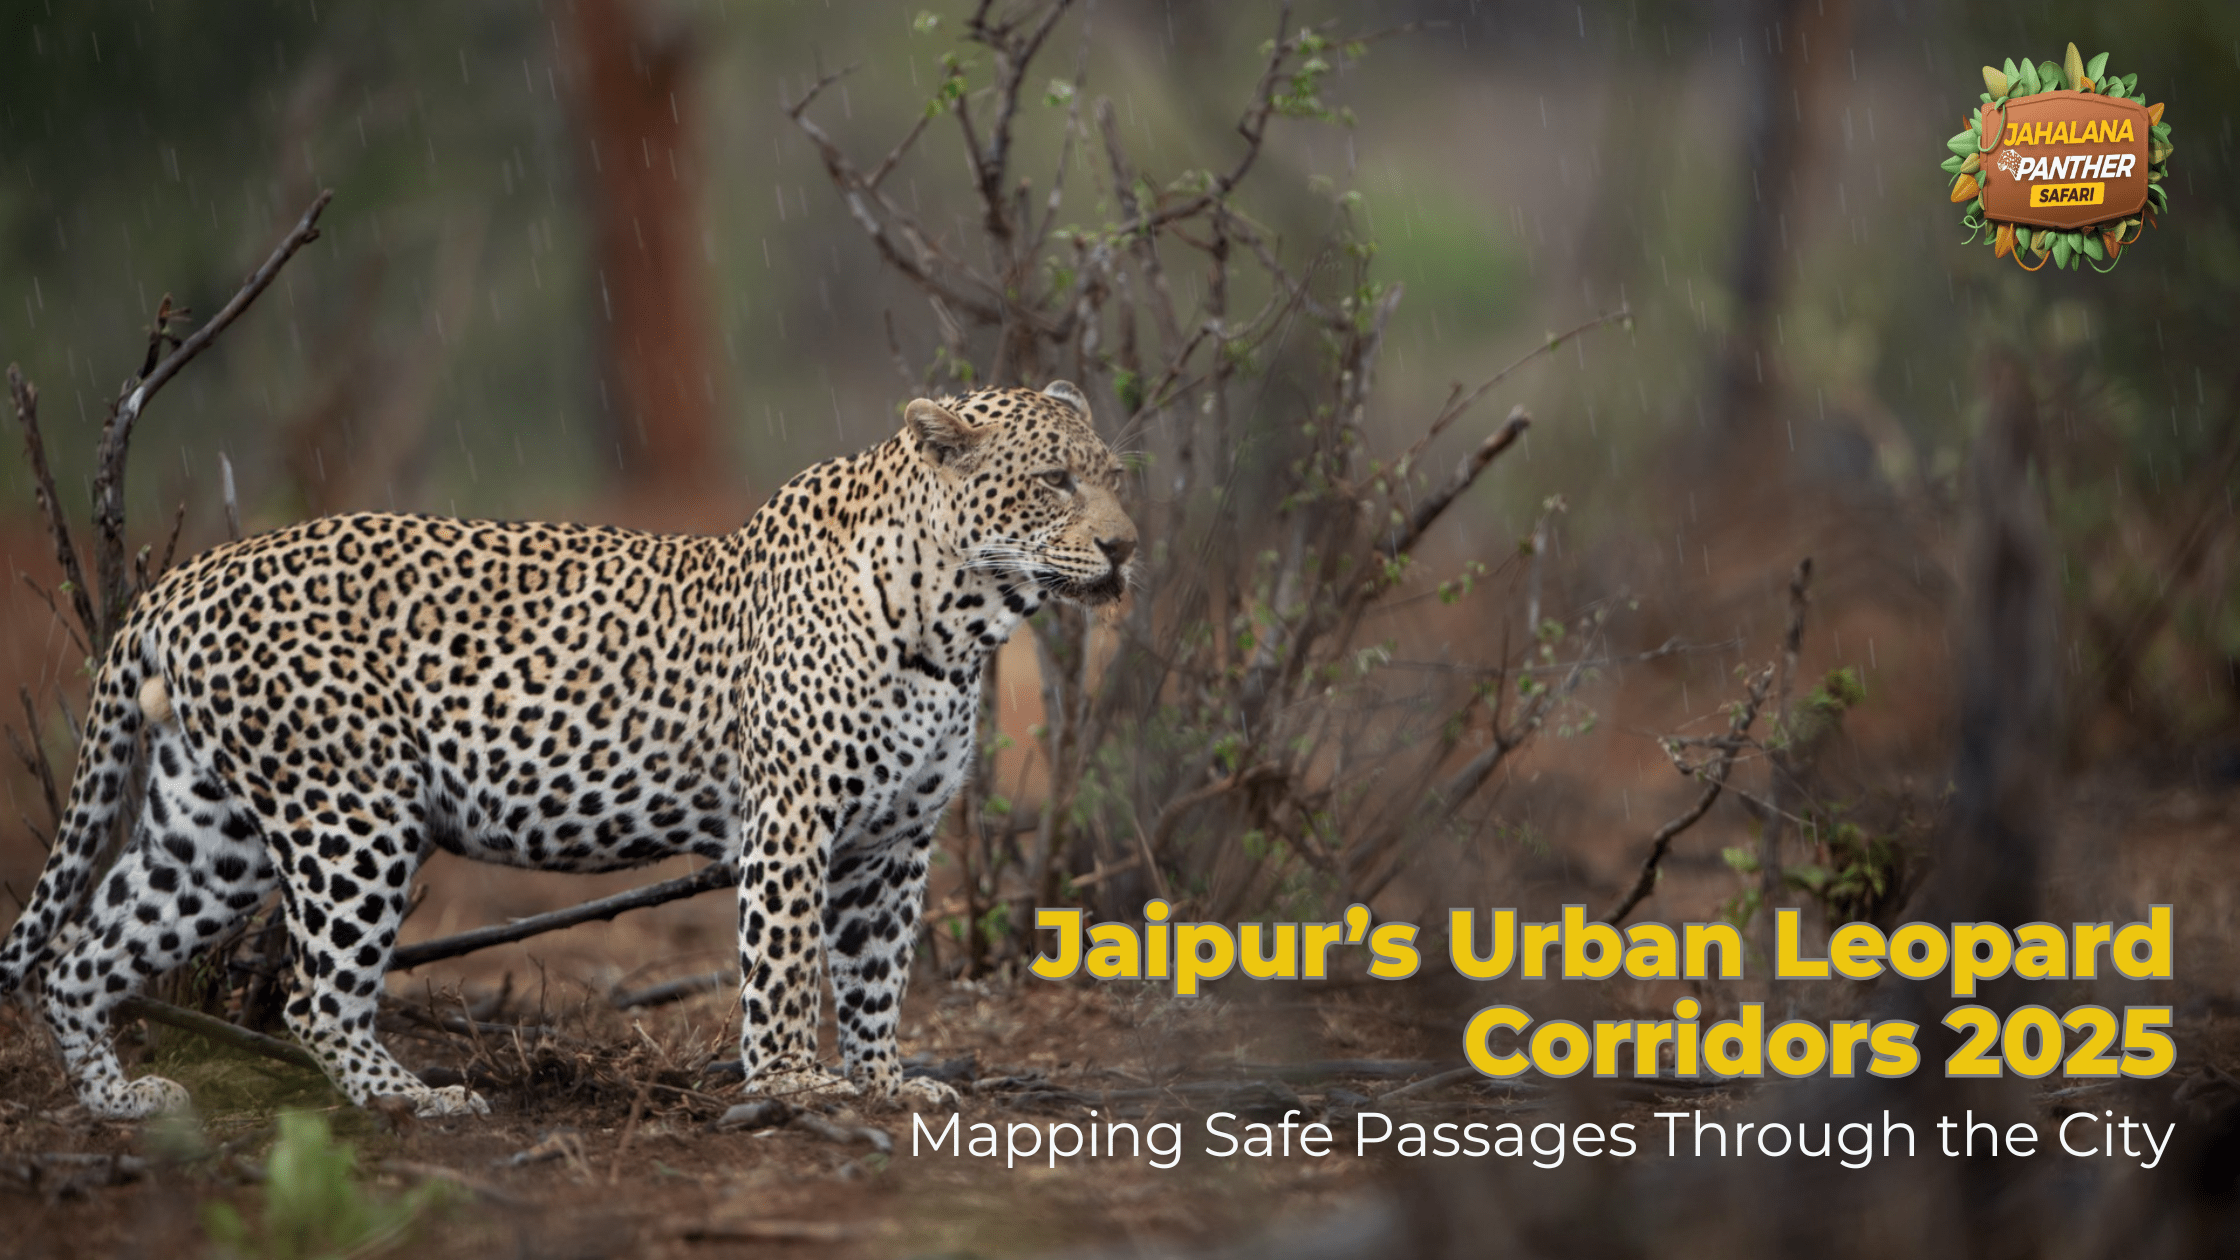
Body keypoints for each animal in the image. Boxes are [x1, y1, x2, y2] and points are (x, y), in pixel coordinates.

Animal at [0, 381, 1135, 1119]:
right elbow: (783, 965)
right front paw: (788, 1083)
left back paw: (119, 1102)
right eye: (1052, 482)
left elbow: (874, 972)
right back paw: (412, 1101)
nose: (1125, 545)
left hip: (211, 834)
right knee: (312, 994)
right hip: (350, 817)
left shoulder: (894, 841)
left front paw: (882, 1082)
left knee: (80, 954)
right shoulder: (792, 822)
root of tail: (177, 583)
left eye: (1113, 476)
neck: (957, 624)